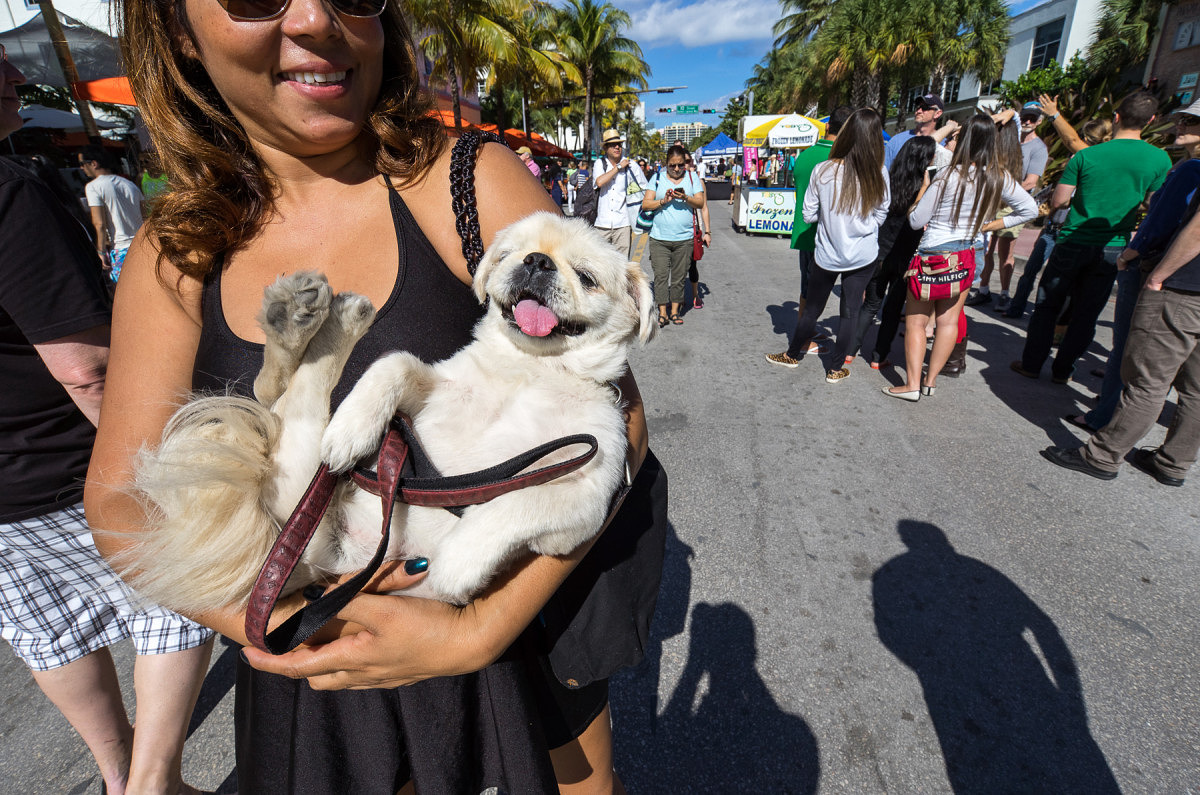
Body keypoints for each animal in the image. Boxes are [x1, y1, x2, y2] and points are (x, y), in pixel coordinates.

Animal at [119, 213, 657, 614]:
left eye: (586, 278)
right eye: (508, 255)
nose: (537, 261)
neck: (531, 368)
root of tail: (324, 567)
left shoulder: (588, 495)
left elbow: (517, 501)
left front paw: (458, 564)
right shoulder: (433, 383)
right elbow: (393, 362)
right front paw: (355, 426)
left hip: (300, 513)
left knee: (285, 399)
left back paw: (323, 319)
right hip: (301, 484)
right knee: (280, 394)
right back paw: (306, 322)